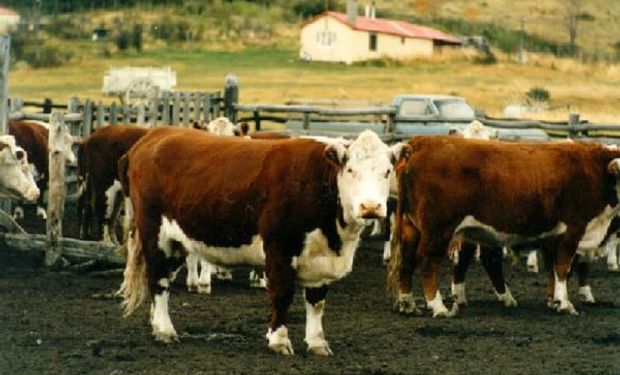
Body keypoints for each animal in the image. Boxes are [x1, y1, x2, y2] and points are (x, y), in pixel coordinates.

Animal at [118, 128, 394, 356]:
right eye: (351, 170)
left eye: (387, 172)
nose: (370, 207)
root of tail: (154, 135)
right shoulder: (279, 249)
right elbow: (282, 295)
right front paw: (279, 340)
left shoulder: (320, 258)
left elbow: (317, 302)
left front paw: (317, 343)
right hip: (155, 235)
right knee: (158, 280)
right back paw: (165, 331)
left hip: (177, 241)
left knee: (162, 280)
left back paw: (156, 323)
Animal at [390, 135, 620, 318]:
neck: (596, 173)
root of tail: (419, 143)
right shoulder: (573, 231)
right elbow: (563, 268)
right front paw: (564, 304)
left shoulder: (553, 238)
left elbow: (554, 271)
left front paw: (553, 300)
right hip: (438, 230)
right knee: (428, 261)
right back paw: (438, 307)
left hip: (411, 227)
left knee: (407, 261)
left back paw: (408, 305)